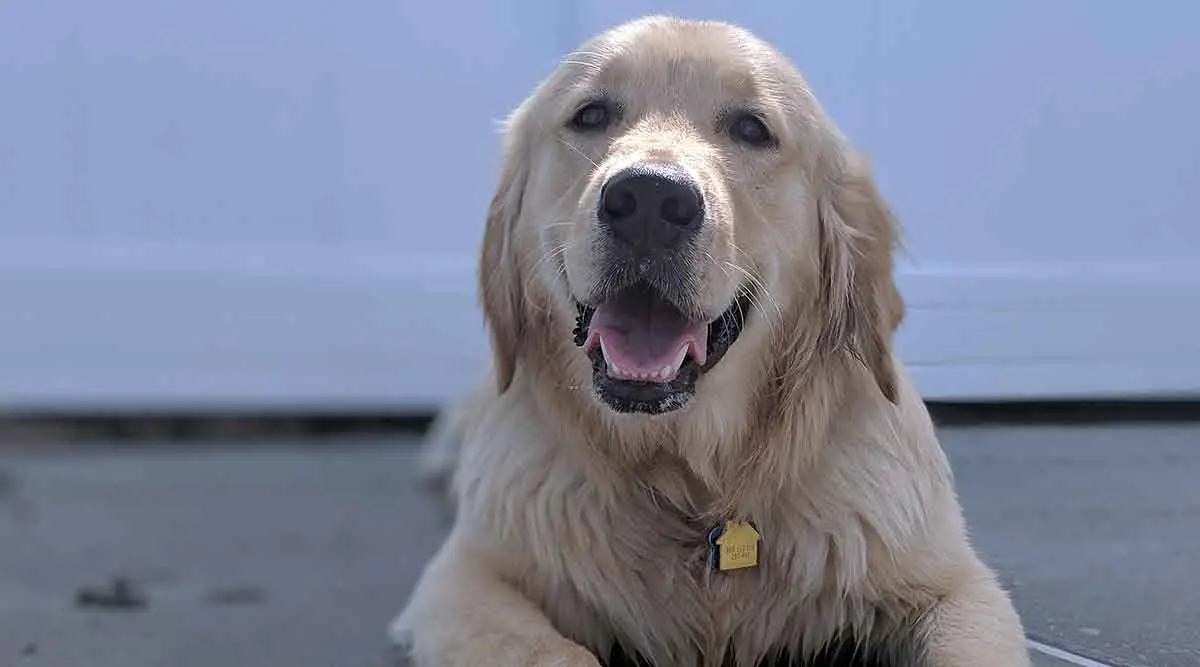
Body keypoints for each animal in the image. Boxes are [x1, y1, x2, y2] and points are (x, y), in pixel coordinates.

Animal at [391, 15, 1022, 667]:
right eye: (591, 114)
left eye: (751, 128)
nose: (648, 200)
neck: (693, 485)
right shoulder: (468, 580)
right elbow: (555, 653)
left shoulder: (957, 587)